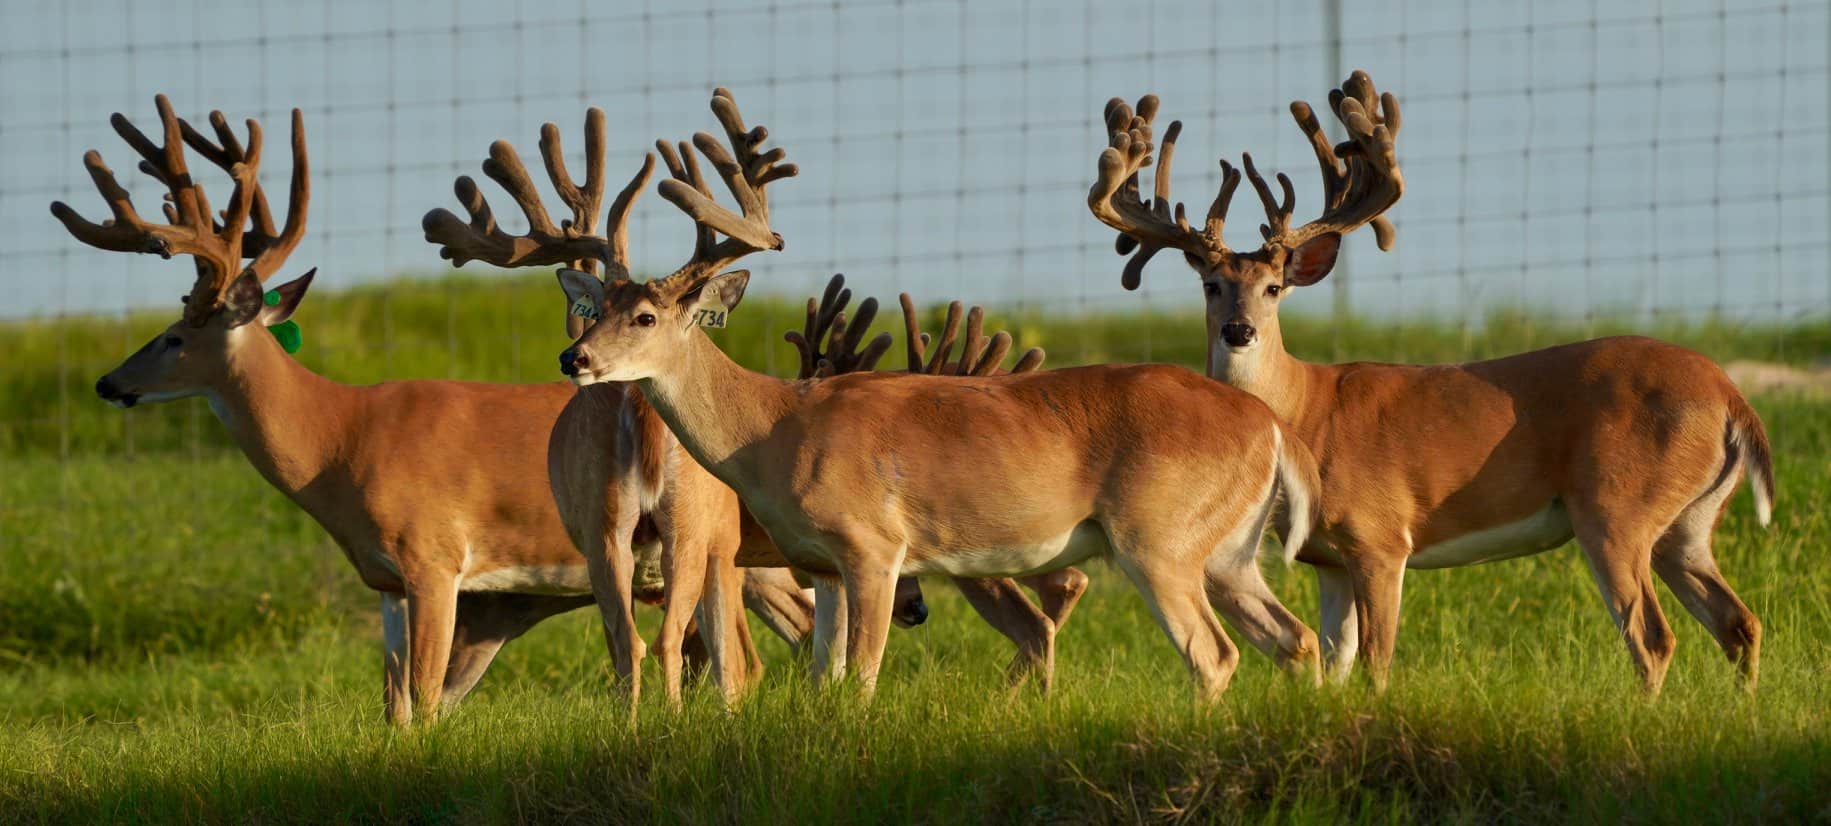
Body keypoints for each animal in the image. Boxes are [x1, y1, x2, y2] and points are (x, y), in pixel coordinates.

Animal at [51, 96, 831, 726]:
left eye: (176, 335)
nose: (108, 382)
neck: (338, 443)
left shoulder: (430, 556)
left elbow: (421, 696)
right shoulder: (388, 582)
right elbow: (397, 704)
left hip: (729, 547)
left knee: (751, 649)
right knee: (683, 646)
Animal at [554, 88, 1325, 699]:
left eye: (645, 317)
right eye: (596, 308)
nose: (573, 356)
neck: (773, 428)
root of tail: (1268, 425)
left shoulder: (872, 544)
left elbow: (862, 679)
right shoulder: (822, 564)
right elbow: (825, 678)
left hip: (1159, 535)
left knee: (1214, 654)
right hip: (1227, 548)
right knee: (1294, 637)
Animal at [1086, 70, 1775, 694]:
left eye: (1274, 287)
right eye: (1211, 285)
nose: (1238, 330)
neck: (1304, 412)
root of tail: (1732, 398)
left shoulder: (1380, 535)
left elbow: (1376, 662)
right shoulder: (1327, 559)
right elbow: (1335, 663)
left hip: (1615, 505)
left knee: (1653, 637)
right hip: (1687, 523)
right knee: (1739, 622)